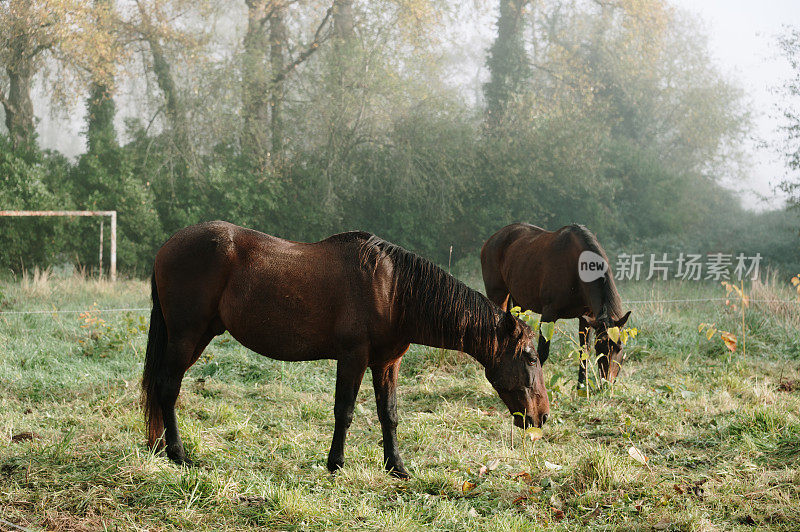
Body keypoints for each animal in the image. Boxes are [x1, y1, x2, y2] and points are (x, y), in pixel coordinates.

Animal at [141, 220, 548, 478]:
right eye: (530, 357)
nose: (541, 416)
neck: (393, 290)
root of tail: (166, 247)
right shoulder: (353, 358)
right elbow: (345, 411)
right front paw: (335, 464)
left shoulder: (387, 363)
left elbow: (389, 414)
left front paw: (397, 467)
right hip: (186, 335)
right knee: (168, 388)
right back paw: (177, 454)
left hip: (198, 336)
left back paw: (159, 447)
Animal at [482, 223, 632, 386]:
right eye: (599, 347)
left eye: (619, 347)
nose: (607, 382)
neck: (576, 268)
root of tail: (491, 240)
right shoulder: (549, 314)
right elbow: (542, 353)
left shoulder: (586, 317)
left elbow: (584, 351)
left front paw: (581, 386)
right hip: (498, 294)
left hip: (519, 302)